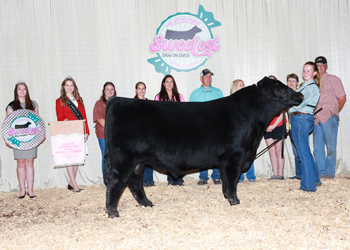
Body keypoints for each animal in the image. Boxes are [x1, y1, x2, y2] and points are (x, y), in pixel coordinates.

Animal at [104, 77, 304, 218]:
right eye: (279, 88)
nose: (300, 96)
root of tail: (116, 101)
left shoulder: (226, 161)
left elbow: (225, 181)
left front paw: (227, 197)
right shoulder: (236, 156)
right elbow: (233, 180)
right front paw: (235, 201)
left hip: (138, 161)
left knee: (135, 182)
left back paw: (147, 203)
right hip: (124, 158)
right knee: (117, 182)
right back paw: (113, 212)